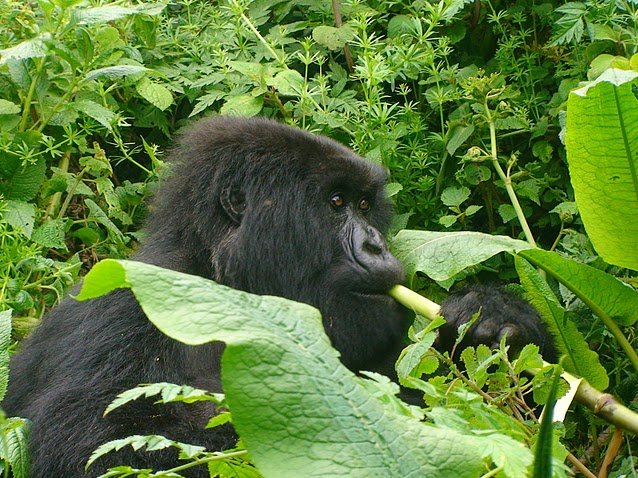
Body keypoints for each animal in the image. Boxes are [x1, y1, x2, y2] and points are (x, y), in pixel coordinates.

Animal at [2, 116, 556, 478]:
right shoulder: (126, 307)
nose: (377, 246)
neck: (227, 285)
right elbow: (101, 446)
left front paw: (490, 319)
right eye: (336, 203)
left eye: (364, 205)